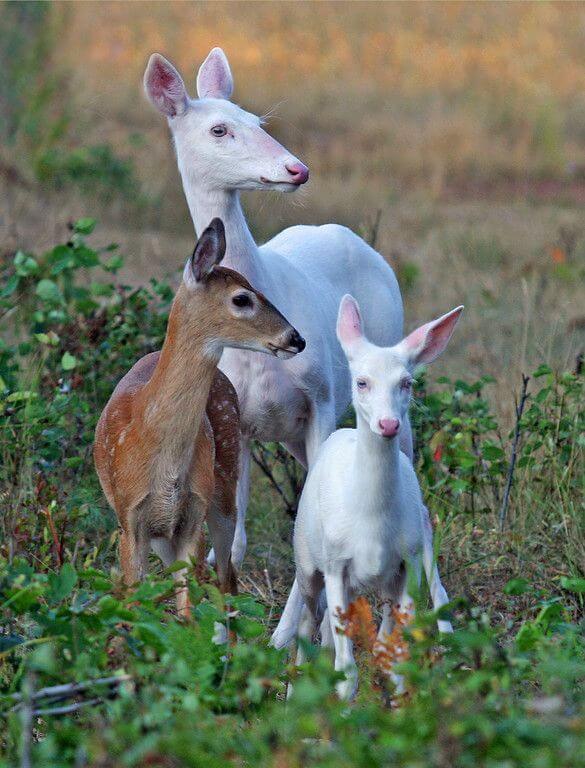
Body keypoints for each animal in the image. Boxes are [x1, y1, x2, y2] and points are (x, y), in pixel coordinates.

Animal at [93, 219, 304, 616]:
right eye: (242, 298)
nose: (296, 339)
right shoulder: (130, 520)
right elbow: (135, 606)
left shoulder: (192, 516)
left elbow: (189, 611)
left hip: (222, 490)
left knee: (227, 578)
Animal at [145, 46, 410, 564]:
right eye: (219, 129)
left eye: (257, 119)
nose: (297, 169)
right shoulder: (238, 421)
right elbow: (235, 541)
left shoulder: (322, 397)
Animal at [274, 296, 460, 704]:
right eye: (361, 382)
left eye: (406, 382)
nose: (388, 424)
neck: (371, 521)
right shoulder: (334, 563)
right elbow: (346, 669)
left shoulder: (408, 561)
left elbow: (395, 656)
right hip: (307, 560)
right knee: (308, 627)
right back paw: (294, 697)